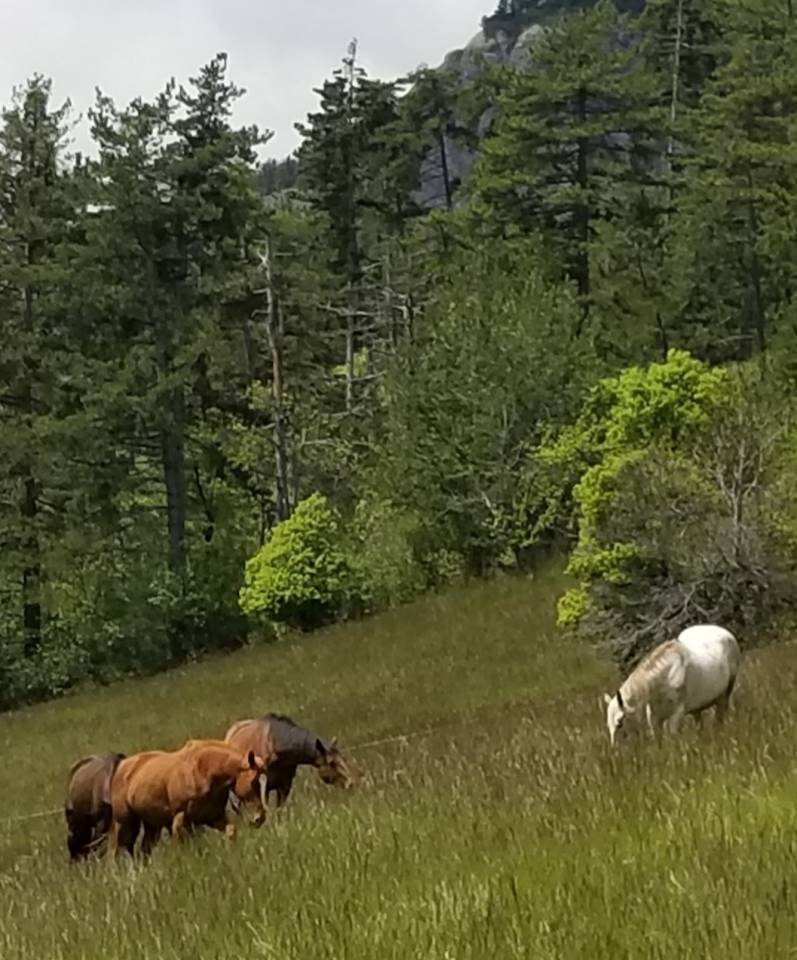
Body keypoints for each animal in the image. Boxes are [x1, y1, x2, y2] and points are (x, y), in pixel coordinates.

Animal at [110, 739, 267, 857]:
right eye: (254, 781)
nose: (259, 818)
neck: (203, 770)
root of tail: (122, 766)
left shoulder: (212, 818)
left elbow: (230, 831)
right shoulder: (181, 819)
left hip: (153, 826)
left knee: (144, 851)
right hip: (125, 823)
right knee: (117, 850)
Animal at [602, 624, 741, 746]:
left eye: (620, 722)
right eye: (608, 724)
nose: (615, 749)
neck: (665, 677)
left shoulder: (676, 715)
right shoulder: (654, 718)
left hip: (724, 696)